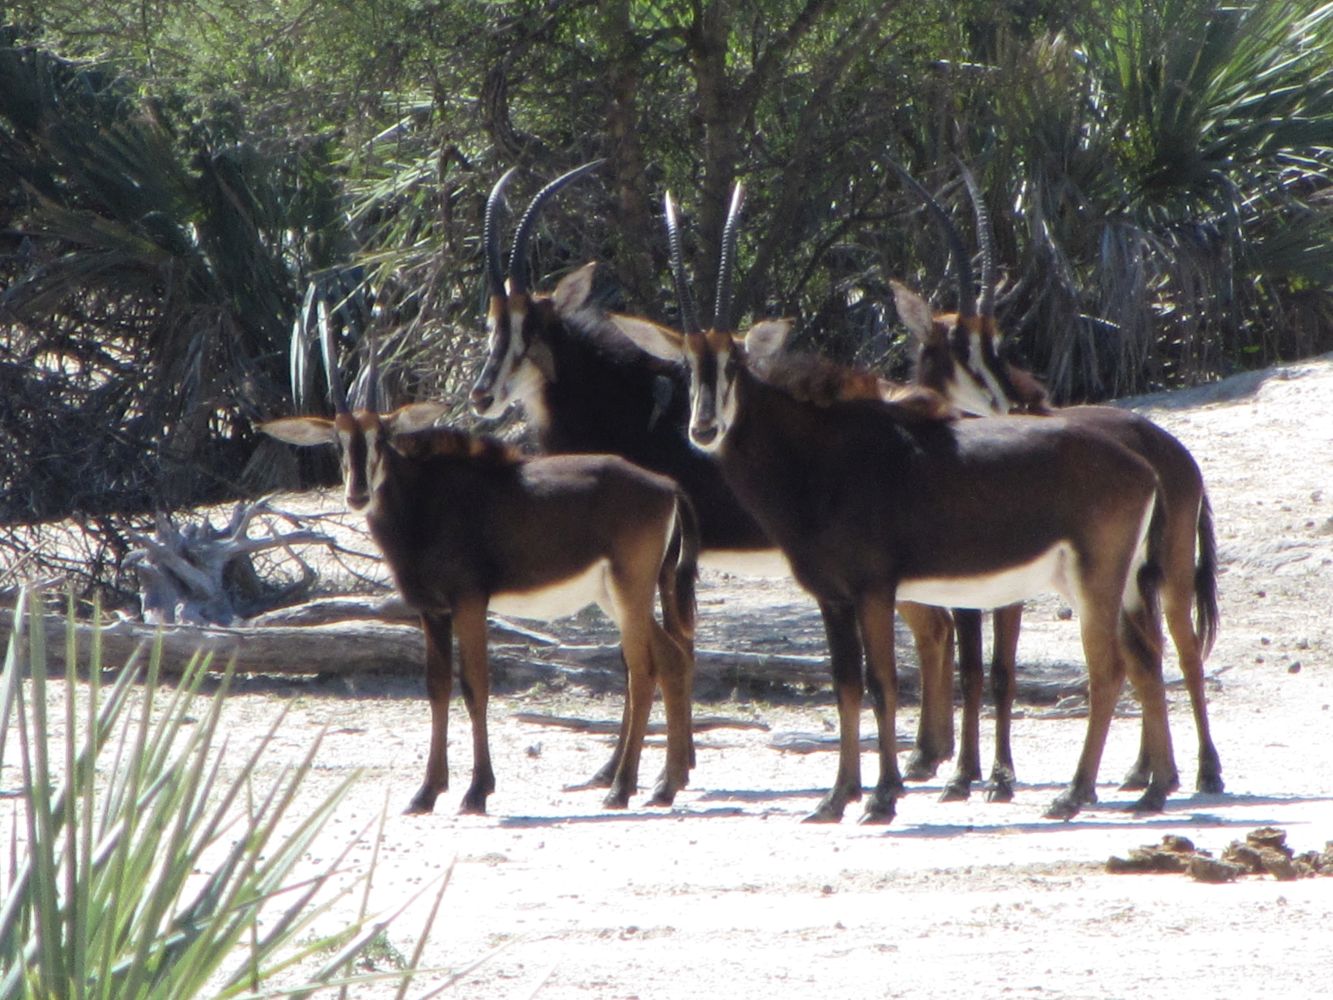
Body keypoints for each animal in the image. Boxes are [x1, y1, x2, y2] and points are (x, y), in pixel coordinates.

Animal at [258, 309, 698, 816]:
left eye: (383, 437)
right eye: (336, 439)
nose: (357, 494)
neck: (423, 505)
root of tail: (667, 487)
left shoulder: (469, 602)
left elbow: (474, 686)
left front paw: (476, 791)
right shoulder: (431, 611)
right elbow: (436, 688)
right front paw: (426, 792)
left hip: (630, 589)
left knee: (642, 671)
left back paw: (621, 788)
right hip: (617, 594)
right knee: (670, 659)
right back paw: (664, 785)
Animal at [466, 164, 959, 794]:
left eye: (533, 328)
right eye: (492, 324)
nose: (482, 394)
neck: (625, 399)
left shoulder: (659, 563)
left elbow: (646, 654)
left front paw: (632, 770)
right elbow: (675, 649)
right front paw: (671, 764)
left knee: (935, 626)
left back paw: (927, 755)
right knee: (937, 624)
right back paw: (930, 753)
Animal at [613, 186, 1178, 821]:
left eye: (736, 362)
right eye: (688, 366)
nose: (704, 428)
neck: (818, 456)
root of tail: (1143, 466)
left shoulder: (874, 591)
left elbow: (883, 683)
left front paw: (882, 797)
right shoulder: (833, 598)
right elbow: (846, 686)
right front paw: (836, 798)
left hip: (1095, 580)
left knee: (1107, 668)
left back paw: (1075, 794)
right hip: (1114, 583)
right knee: (1144, 657)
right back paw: (1154, 789)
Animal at [890, 166, 1221, 805]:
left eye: (995, 340)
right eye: (956, 346)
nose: (1014, 402)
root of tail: (1171, 449)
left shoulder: (1003, 587)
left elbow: (998, 671)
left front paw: (993, 777)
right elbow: (973, 667)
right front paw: (966, 774)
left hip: (1166, 570)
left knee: (1184, 648)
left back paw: (1203, 773)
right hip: (1127, 579)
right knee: (1146, 650)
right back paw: (1144, 773)